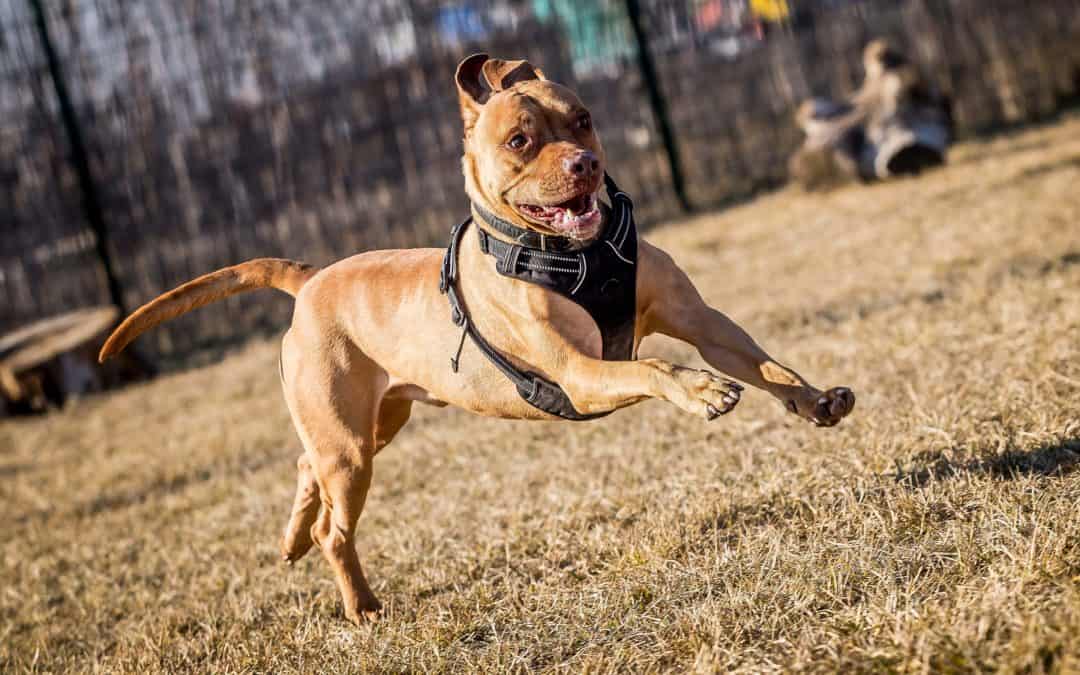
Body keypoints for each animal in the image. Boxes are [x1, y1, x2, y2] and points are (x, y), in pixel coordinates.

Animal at [99, 55, 851, 622]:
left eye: (582, 119)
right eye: (520, 141)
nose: (583, 164)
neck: (576, 254)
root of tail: (309, 279)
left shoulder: (699, 319)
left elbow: (765, 364)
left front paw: (814, 401)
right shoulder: (581, 374)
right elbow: (654, 369)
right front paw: (700, 392)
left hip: (372, 424)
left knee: (305, 466)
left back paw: (289, 540)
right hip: (352, 448)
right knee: (333, 528)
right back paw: (360, 604)